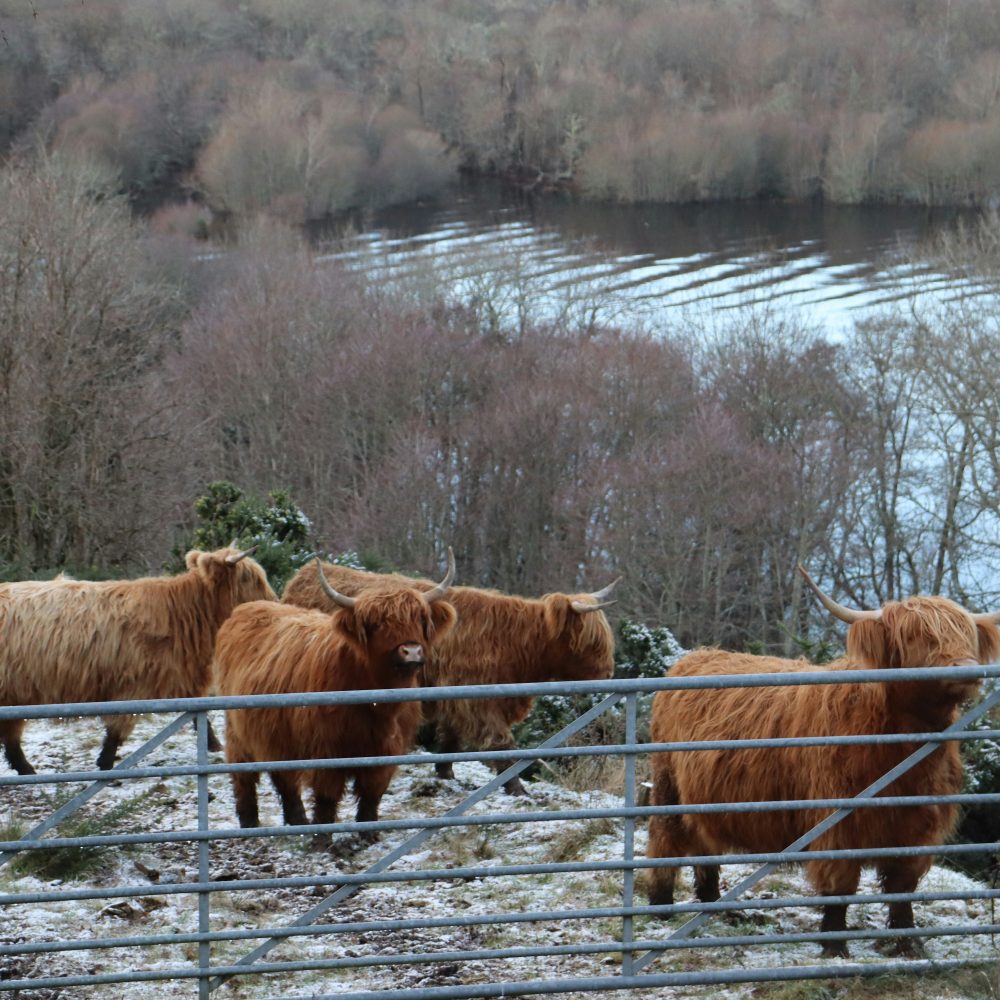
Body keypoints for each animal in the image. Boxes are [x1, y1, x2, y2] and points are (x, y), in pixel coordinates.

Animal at [0, 546, 275, 775]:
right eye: (248, 578)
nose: (273, 602)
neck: (182, 614)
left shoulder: (181, 676)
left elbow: (200, 716)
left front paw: (215, 745)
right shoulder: (133, 685)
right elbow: (117, 728)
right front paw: (106, 764)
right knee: (11, 736)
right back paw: (28, 771)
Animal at [215, 556, 457, 835]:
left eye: (420, 619)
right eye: (376, 624)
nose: (412, 651)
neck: (376, 705)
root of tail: (245, 609)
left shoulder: (386, 752)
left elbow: (372, 794)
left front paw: (367, 834)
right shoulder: (326, 750)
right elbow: (327, 797)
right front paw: (322, 836)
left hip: (275, 734)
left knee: (284, 777)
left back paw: (297, 820)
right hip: (238, 731)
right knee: (244, 775)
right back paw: (249, 823)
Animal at [282, 558, 617, 794]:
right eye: (591, 640)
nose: (608, 672)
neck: (515, 644)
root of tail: (303, 576)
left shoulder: (455, 695)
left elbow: (451, 738)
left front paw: (444, 774)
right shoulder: (479, 701)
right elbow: (502, 743)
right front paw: (517, 788)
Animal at [646, 565, 1000, 958]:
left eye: (966, 634)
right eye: (916, 635)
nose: (967, 668)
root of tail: (694, 657)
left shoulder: (918, 825)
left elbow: (902, 886)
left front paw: (909, 945)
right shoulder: (836, 821)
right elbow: (840, 885)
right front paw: (835, 945)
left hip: (704, 796)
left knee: (704, 842)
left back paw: (714, 904)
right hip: (667, 785)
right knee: (664, 837)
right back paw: (660, 905)